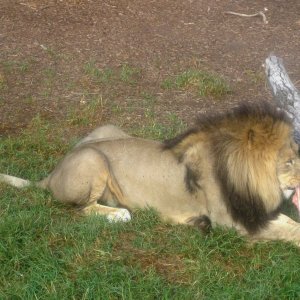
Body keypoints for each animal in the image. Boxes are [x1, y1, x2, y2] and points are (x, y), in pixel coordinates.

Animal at [1, 102, 300, 245]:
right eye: (289, 161)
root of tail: (51, 175)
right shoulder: (231, 223)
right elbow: (288, 231)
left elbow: (289, 222)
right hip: (92, 158)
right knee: (82, 209)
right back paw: (119, 214)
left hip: (107, 129)